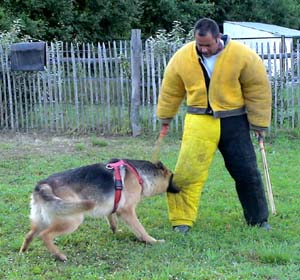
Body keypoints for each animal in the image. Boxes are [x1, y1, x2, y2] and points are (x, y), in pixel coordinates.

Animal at [19, 159, 179, 262]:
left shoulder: (113, 208)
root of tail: (42, 185)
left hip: (41, 220)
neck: (139, 174)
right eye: (173, 177)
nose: (181, 189)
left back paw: (23, 252)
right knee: (45, 235)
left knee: (29, 235)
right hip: (73, 219)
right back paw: (59, 256)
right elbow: (141, 229)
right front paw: (152, 241)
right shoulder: (127, 211)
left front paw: (116, 231)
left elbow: (113, 221)